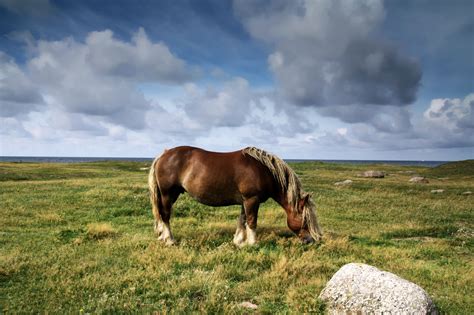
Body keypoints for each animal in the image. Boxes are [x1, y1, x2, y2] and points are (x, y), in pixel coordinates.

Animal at [147, 146, 322, 247]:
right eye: (305, 220)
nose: (311, 241)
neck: (263, 170)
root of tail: (163, 155)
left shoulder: (245, 201)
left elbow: (242, 220)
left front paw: (239, 241)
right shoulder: (252, 200)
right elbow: (251, 221)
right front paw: (252, 243)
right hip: (168, 194)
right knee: (165, 215)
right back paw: (169, 239)